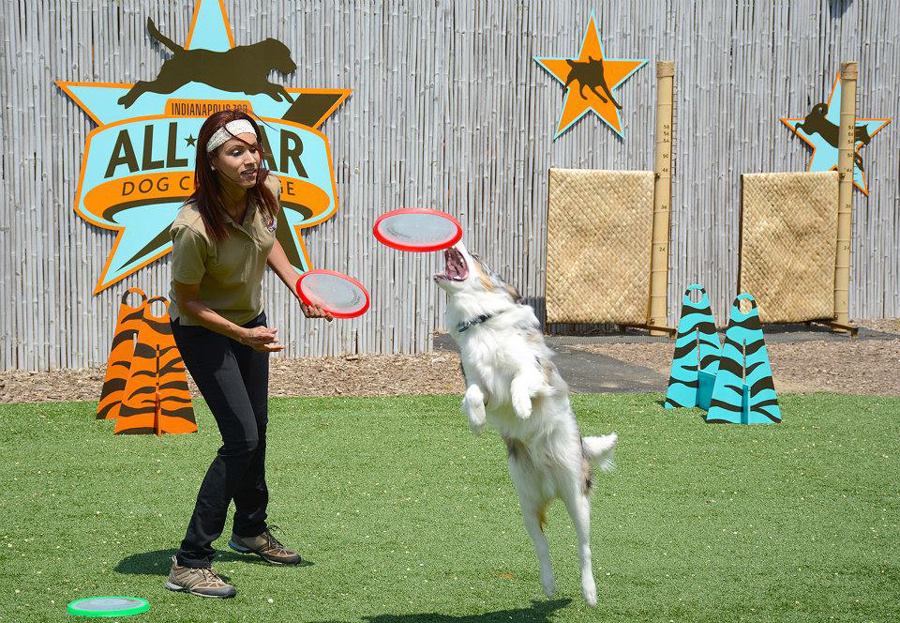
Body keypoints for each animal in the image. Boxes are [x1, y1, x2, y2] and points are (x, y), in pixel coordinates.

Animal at [119, 19, 297, 108]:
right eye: (286, 55)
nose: (295, 68)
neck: (258, 58)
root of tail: (181, 52)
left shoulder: (259, 85)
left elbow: (278, 87)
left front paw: (288, 99)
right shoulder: (253, 88)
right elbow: (274, 87)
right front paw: (281, 97)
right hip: (168, 84)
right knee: (141, 84)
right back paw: (126, 101)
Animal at [434, 243, 618, 606]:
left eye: (476, 256)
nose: (454, 241)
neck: (480, 323)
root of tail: (551, 487)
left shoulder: (535, 372)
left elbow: (520, 381)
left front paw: (521, 407)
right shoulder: (481, 385)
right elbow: (473, 395)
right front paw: (477, 422)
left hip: (577, 496)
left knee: (584, 548)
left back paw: (589, 592)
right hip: (527, 506)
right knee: (542, 547)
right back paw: (549, 586)